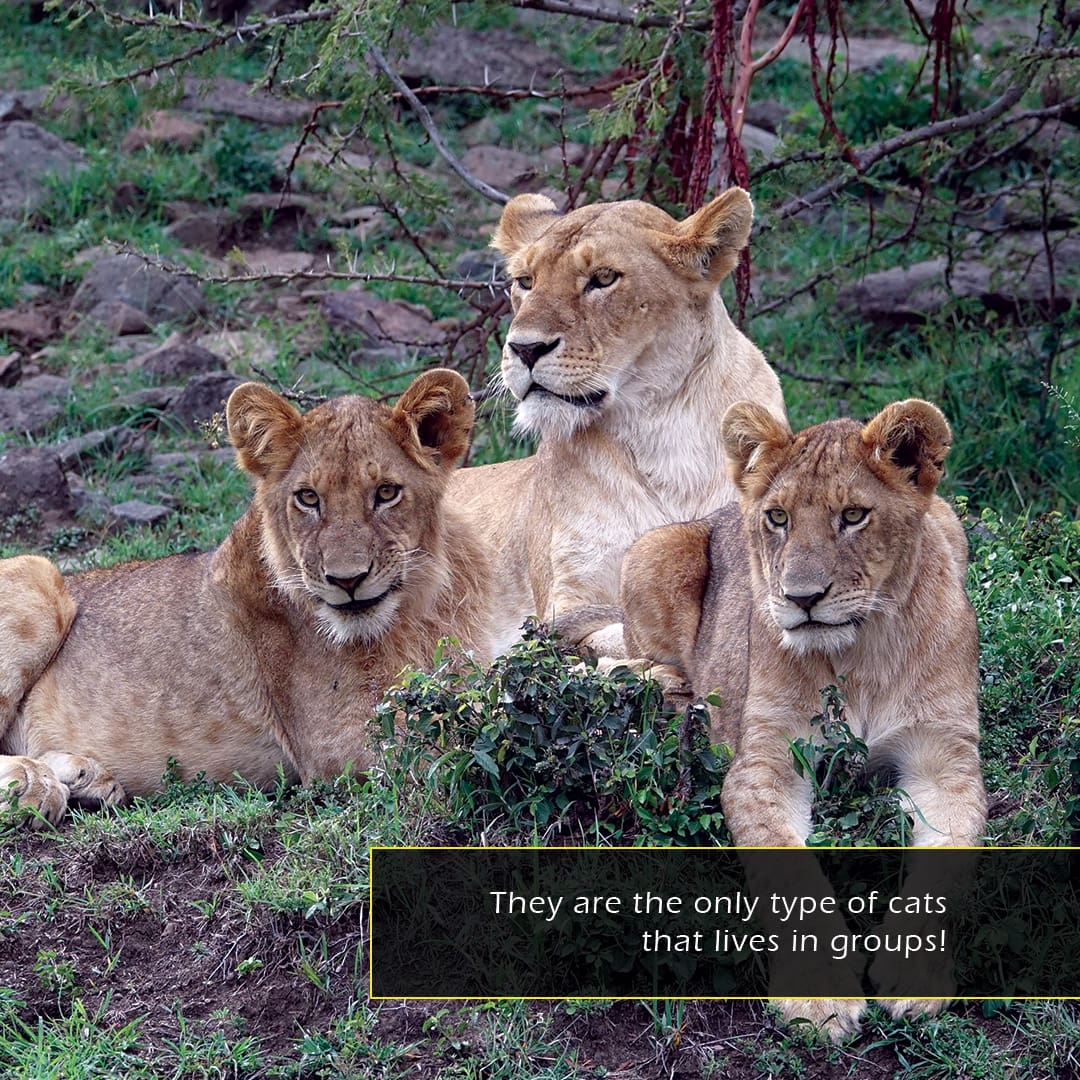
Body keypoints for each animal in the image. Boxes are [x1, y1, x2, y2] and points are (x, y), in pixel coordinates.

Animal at [0, 370, 492, 827]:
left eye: (387, 492)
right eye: (308, 498)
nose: (346, 580)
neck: (409, 612)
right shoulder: (343, 744)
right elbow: (463, 745)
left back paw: (85, 778)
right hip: (38, 576)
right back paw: (32, 784)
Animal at [449, 188, 785, 655]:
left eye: (604, 278)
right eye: (525, 282)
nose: (525, 349)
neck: (659, 428)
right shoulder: (569, 594)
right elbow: (621, 631)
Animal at [610, 398, 987, 1038]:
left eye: (854, 515)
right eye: (779, 518)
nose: (801, 598)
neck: (862, 653)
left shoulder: (946, 758)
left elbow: (948, 861)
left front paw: (915, 978)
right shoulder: (766, 760)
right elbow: (790, 877)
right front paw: (819, 996)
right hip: (654, 551)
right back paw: (669, 690)